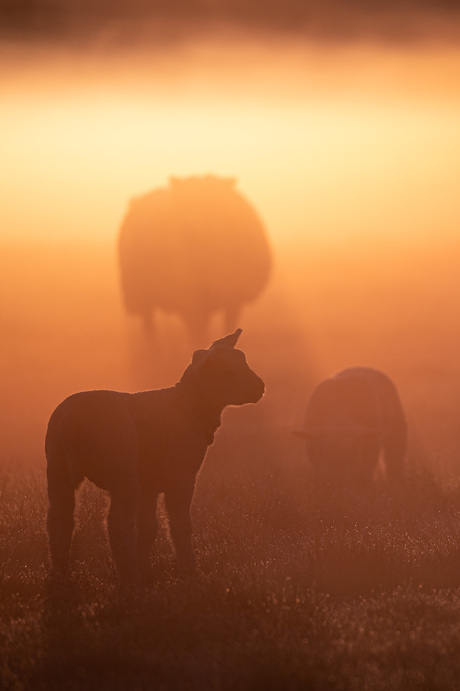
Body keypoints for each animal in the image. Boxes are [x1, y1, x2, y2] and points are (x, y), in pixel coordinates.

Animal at [46, 328, 264, 588]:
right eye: (226, 370)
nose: (260, 387)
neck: (189, 405)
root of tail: (72, 421)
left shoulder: (149, 484)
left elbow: (148, 528)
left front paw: (147, 569)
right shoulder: (181, 477)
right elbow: (180, 525)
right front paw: (189, 573)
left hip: (57, 468)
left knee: (59, 522)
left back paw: (61, 575)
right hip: (122, 472)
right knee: (118, 526)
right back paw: (131, 580)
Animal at [117, 176, 272, 344]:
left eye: (213, 202)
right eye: (182, 203)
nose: (190, 225)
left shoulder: (234, 298)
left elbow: (227, 326)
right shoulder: (190, 301)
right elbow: (196, 330)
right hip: (142, 294)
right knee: (149, 325)